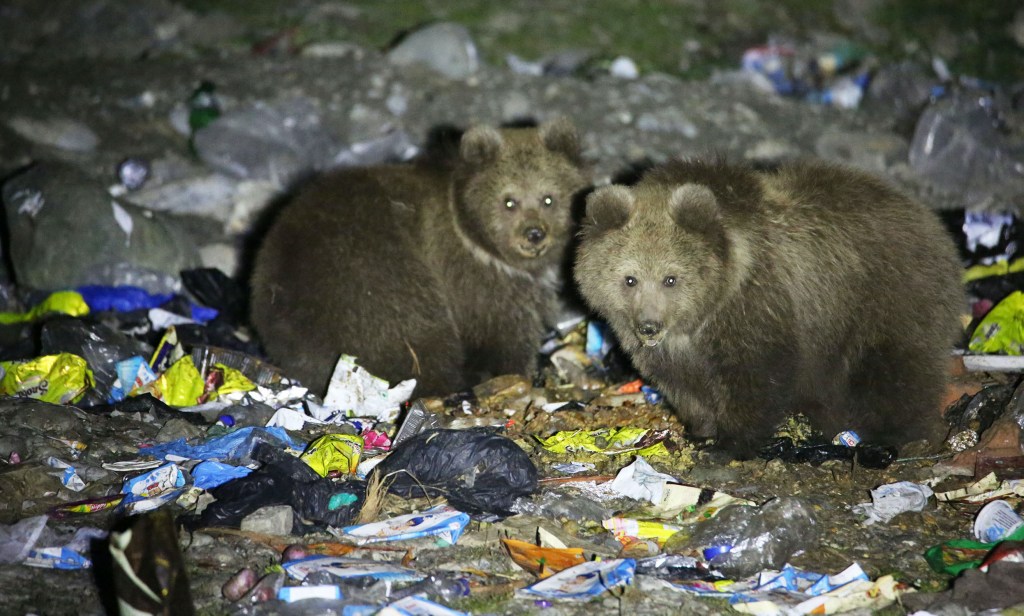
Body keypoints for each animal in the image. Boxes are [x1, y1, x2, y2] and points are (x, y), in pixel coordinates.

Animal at [248, 119, 589, 394]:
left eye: (548, 198)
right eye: (509, 201)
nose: (534, 234)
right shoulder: (473, 278)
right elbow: (503, 330)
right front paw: (517, 367)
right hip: (372, 274)